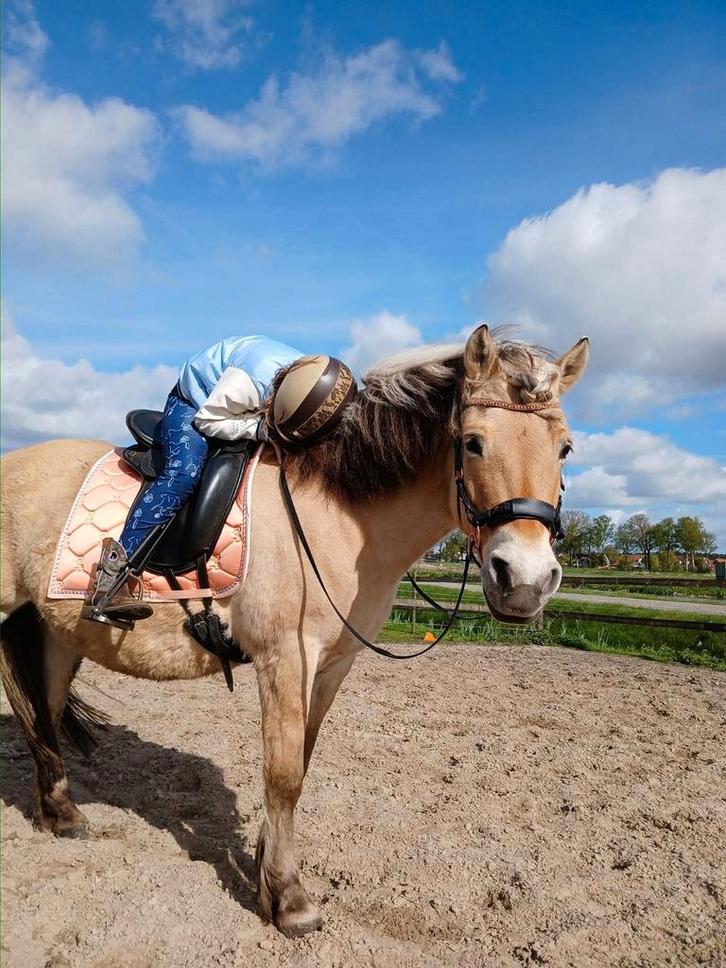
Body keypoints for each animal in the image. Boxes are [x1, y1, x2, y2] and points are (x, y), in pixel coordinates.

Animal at [0, 324, 588, 937]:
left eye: (565, 448)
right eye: (473, 442)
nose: (524, 581)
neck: (341, 514)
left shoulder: (332, 664)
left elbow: (301, 759)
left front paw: (265, 868)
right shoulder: (285, 657)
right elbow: (283, 774)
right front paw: (288, 898)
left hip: (58, 634)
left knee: (42, 710)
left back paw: (64, 816)